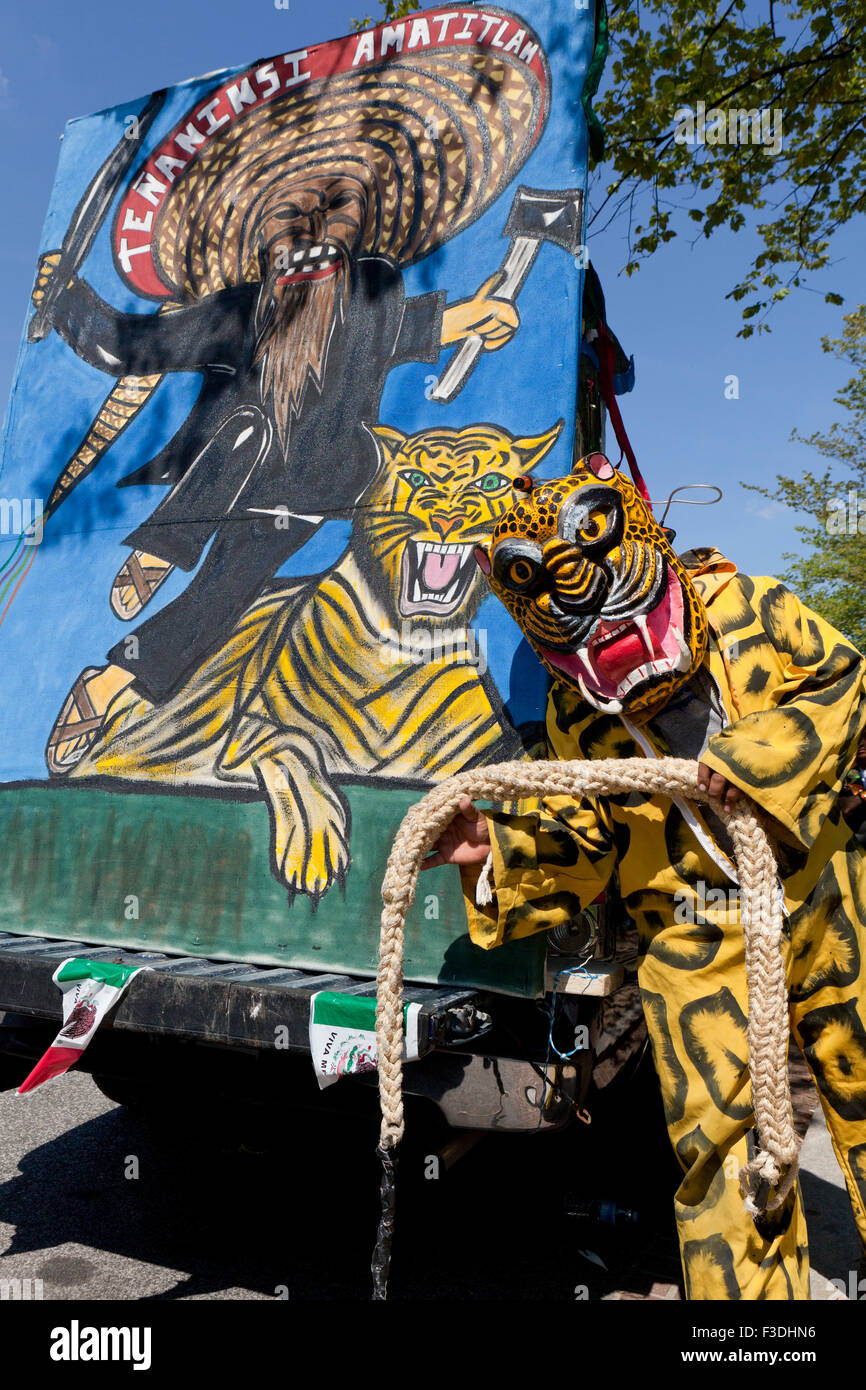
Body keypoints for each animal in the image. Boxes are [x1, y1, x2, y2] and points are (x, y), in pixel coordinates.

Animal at [72, 422, 561, 895]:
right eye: (416, 478)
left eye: (491, 482)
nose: (446, 519)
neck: (404, 643)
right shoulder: (255, 728)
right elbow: (294, 748)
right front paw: (313, 848)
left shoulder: (486, 749)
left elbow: (523, 763)